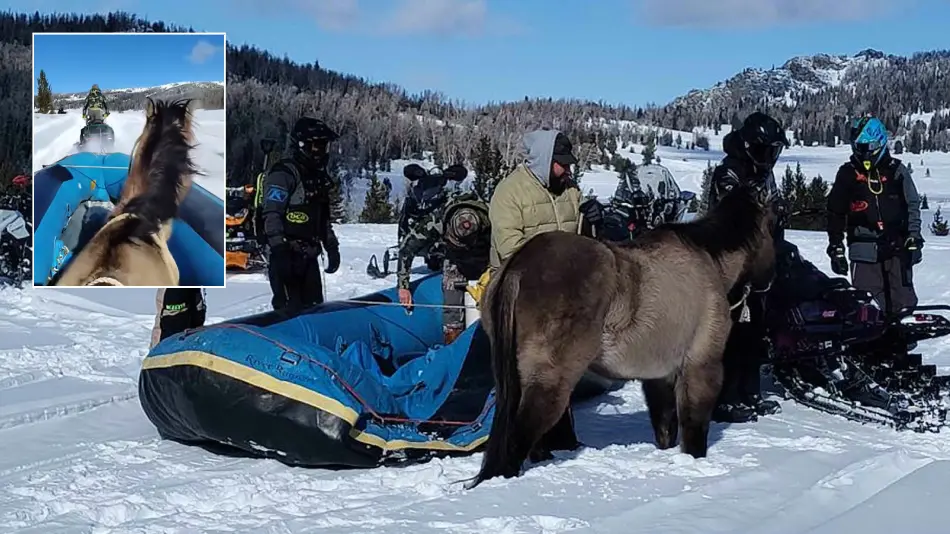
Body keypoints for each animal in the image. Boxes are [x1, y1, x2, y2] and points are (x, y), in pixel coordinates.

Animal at [465, 182, 778, 488]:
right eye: (773, 227)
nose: (771, 279)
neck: (706, 259)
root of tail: (518, 266)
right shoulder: (700, 367)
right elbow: (694, 430)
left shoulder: (659, 376)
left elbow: (664, 428)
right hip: (550, 382)